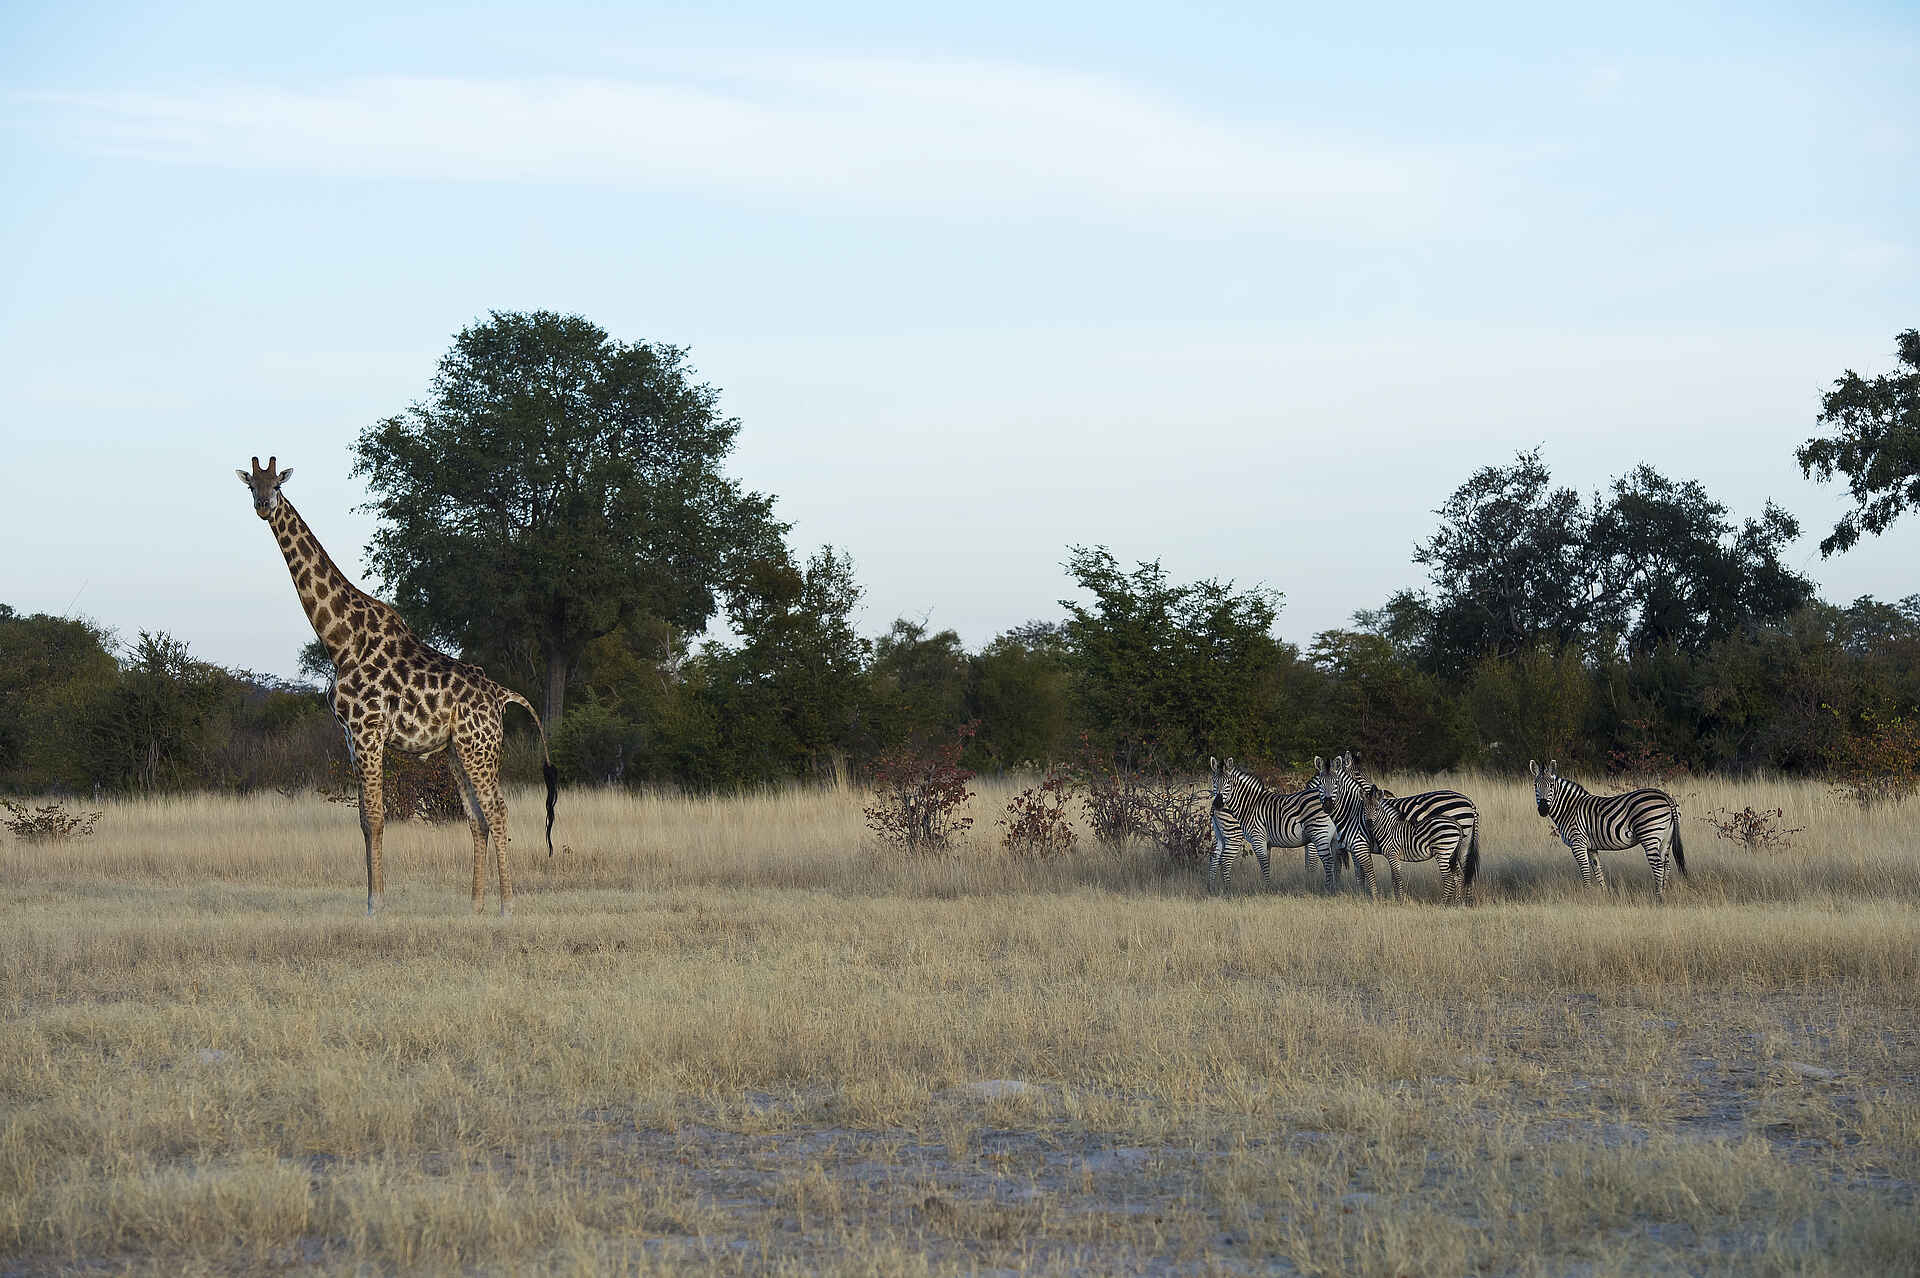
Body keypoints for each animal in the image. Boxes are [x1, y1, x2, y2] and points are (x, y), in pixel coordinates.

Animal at [237, 455, 557, 916]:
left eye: (277, 484)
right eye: (252, 486)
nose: (264, 505)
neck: (340, 640)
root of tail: (500, 695)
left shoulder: (369, 731)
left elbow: (375, 817)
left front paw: (376, 904)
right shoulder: (350, 736)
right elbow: (362, 819)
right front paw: (372, 899)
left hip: (479, 748)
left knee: (497, 811)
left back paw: (507, 907)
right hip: (458, 750)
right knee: (477, 817)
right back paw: (475, 905)